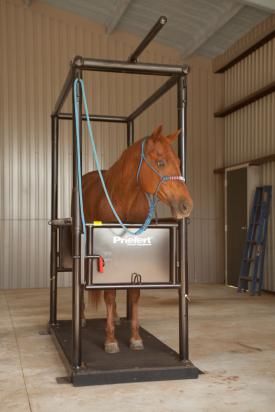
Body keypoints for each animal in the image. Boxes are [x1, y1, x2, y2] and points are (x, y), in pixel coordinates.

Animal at [83, 125, 193, 354]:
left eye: (179, 162)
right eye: (161, 163)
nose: (186, 205)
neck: (123, 198)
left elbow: (133, 294)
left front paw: (135, 338)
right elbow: (109, 294)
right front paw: (110, 340)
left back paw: (116, 318)